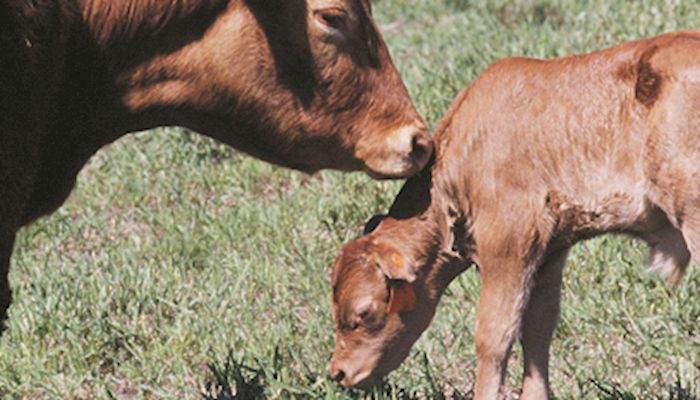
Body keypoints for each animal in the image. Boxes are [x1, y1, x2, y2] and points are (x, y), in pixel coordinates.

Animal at [328, 32, 700, 400]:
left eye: (364, 313)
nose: (338, 373)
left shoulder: (508, 242)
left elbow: (494, 334)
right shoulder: (549, 252)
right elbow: (537, 329)